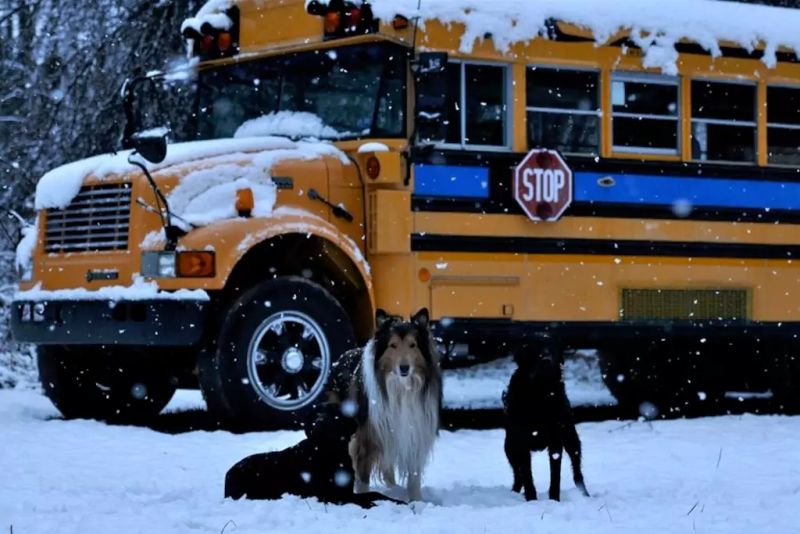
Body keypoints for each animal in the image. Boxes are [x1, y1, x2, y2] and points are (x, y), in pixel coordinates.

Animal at [223, 404, 400, 508]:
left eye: (334, 414)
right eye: (315, 414)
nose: (318, 423)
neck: (329, 453)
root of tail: (228, 473)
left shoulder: (345, 491)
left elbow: (376, 494)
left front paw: (398, 501)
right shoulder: (327, 495)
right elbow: (359, 499)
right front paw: (370, 504)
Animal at [346, 308, 444, 504]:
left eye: (413, 345)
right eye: (393, 345)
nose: (404, 368)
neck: (401, 388)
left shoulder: (415, 431)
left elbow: (414, 478)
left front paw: (417, 503)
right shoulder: (367, 438)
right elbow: (362, 477)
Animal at [504, 342, 592, 504]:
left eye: (552, 347)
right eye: (533, 348)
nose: (546, 360)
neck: (540, 392)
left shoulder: (556, 440)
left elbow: (555, 475)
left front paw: (554, 500)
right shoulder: (521, 443)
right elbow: (527, 475)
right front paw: (532, 500)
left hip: (571, 439)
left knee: (577, 471)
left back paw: (585, 495)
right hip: (509, 448)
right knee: (517, 474)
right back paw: (514, 492)